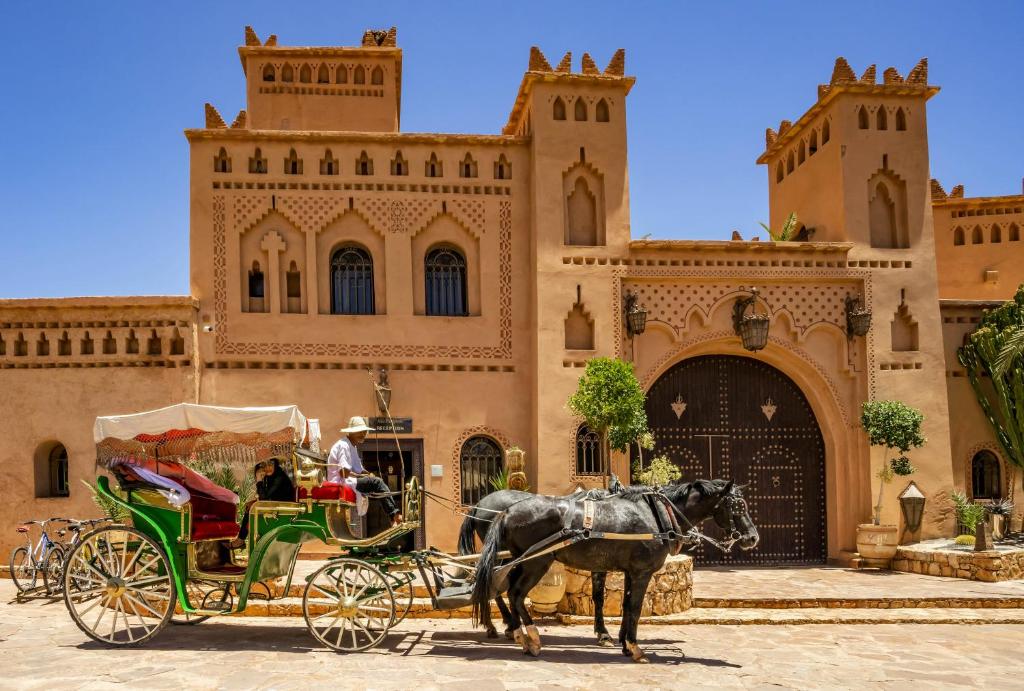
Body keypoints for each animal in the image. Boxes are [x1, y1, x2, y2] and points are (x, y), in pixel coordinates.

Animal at [473, 481, 761, 663]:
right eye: (738, 507)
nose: (752, 538)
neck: (659, 515)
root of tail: (507, 512)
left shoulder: (630, 571)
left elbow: (625, 605)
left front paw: (622, 643)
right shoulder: (642, 572)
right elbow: (634, 608)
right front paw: (634, 648)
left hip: (522, 561)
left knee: (507, 591)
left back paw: (519, 634)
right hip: (536, 562)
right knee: (515, 594)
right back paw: (530, 637)